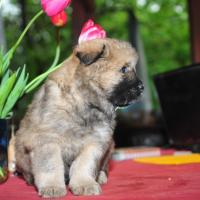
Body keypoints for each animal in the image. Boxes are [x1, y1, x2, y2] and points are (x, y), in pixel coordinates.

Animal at [15, 38, 144, 198]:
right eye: (124, 69)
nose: (142, 87)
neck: (84, 102)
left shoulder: (95, 142)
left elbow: (84, 164)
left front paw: (84, 184)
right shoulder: (47, 140)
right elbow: (51, 165)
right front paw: (52, 187)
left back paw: (100, 176)